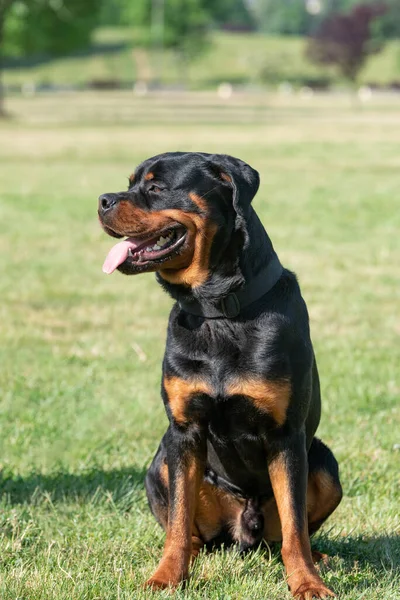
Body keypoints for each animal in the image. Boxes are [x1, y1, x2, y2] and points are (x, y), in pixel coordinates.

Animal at [98, 152, 342, 596]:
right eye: (129, 183)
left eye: (156, 187)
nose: (102, 200)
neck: (217, 311)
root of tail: (242, 530)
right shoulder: (184, 429)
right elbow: (178, 521)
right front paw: (166, 577)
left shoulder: (286, 436)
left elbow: (296, 525)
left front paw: (306, 583)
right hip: (160, 462)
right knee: (188, 529)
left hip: (324, 462)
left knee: (290, 532)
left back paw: (319, 559)